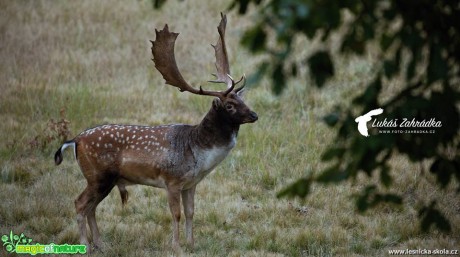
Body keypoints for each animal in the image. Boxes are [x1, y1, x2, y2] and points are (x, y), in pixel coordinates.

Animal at [54, 13, 258, 251]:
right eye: (230, 105)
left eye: (242, 99)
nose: (254, 115)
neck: (198, 153)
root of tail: (75, 140)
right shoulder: (172, 180)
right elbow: (176, 214)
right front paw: (176, 247)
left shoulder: (191, 184)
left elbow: (191, 212)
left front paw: (192, 244)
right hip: (98, 175)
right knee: (80, 204)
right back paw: (85, 245)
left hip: (105, 180)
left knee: (91, 207)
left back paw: (101, 245)